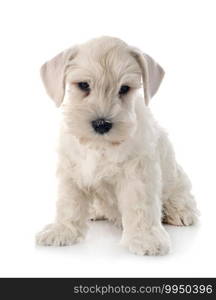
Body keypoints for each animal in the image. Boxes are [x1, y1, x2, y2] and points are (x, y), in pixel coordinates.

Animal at [36, 36, 198, 254]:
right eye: (83, 85)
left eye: (124, 89)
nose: (101, 124)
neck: (100, 147)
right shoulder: (71, 171)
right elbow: (68, 204)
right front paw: (61, 231)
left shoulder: (137, 173)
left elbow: (140, 206)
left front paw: (145, 238)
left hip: (176, 179)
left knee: (182, 194)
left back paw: (180, 212)